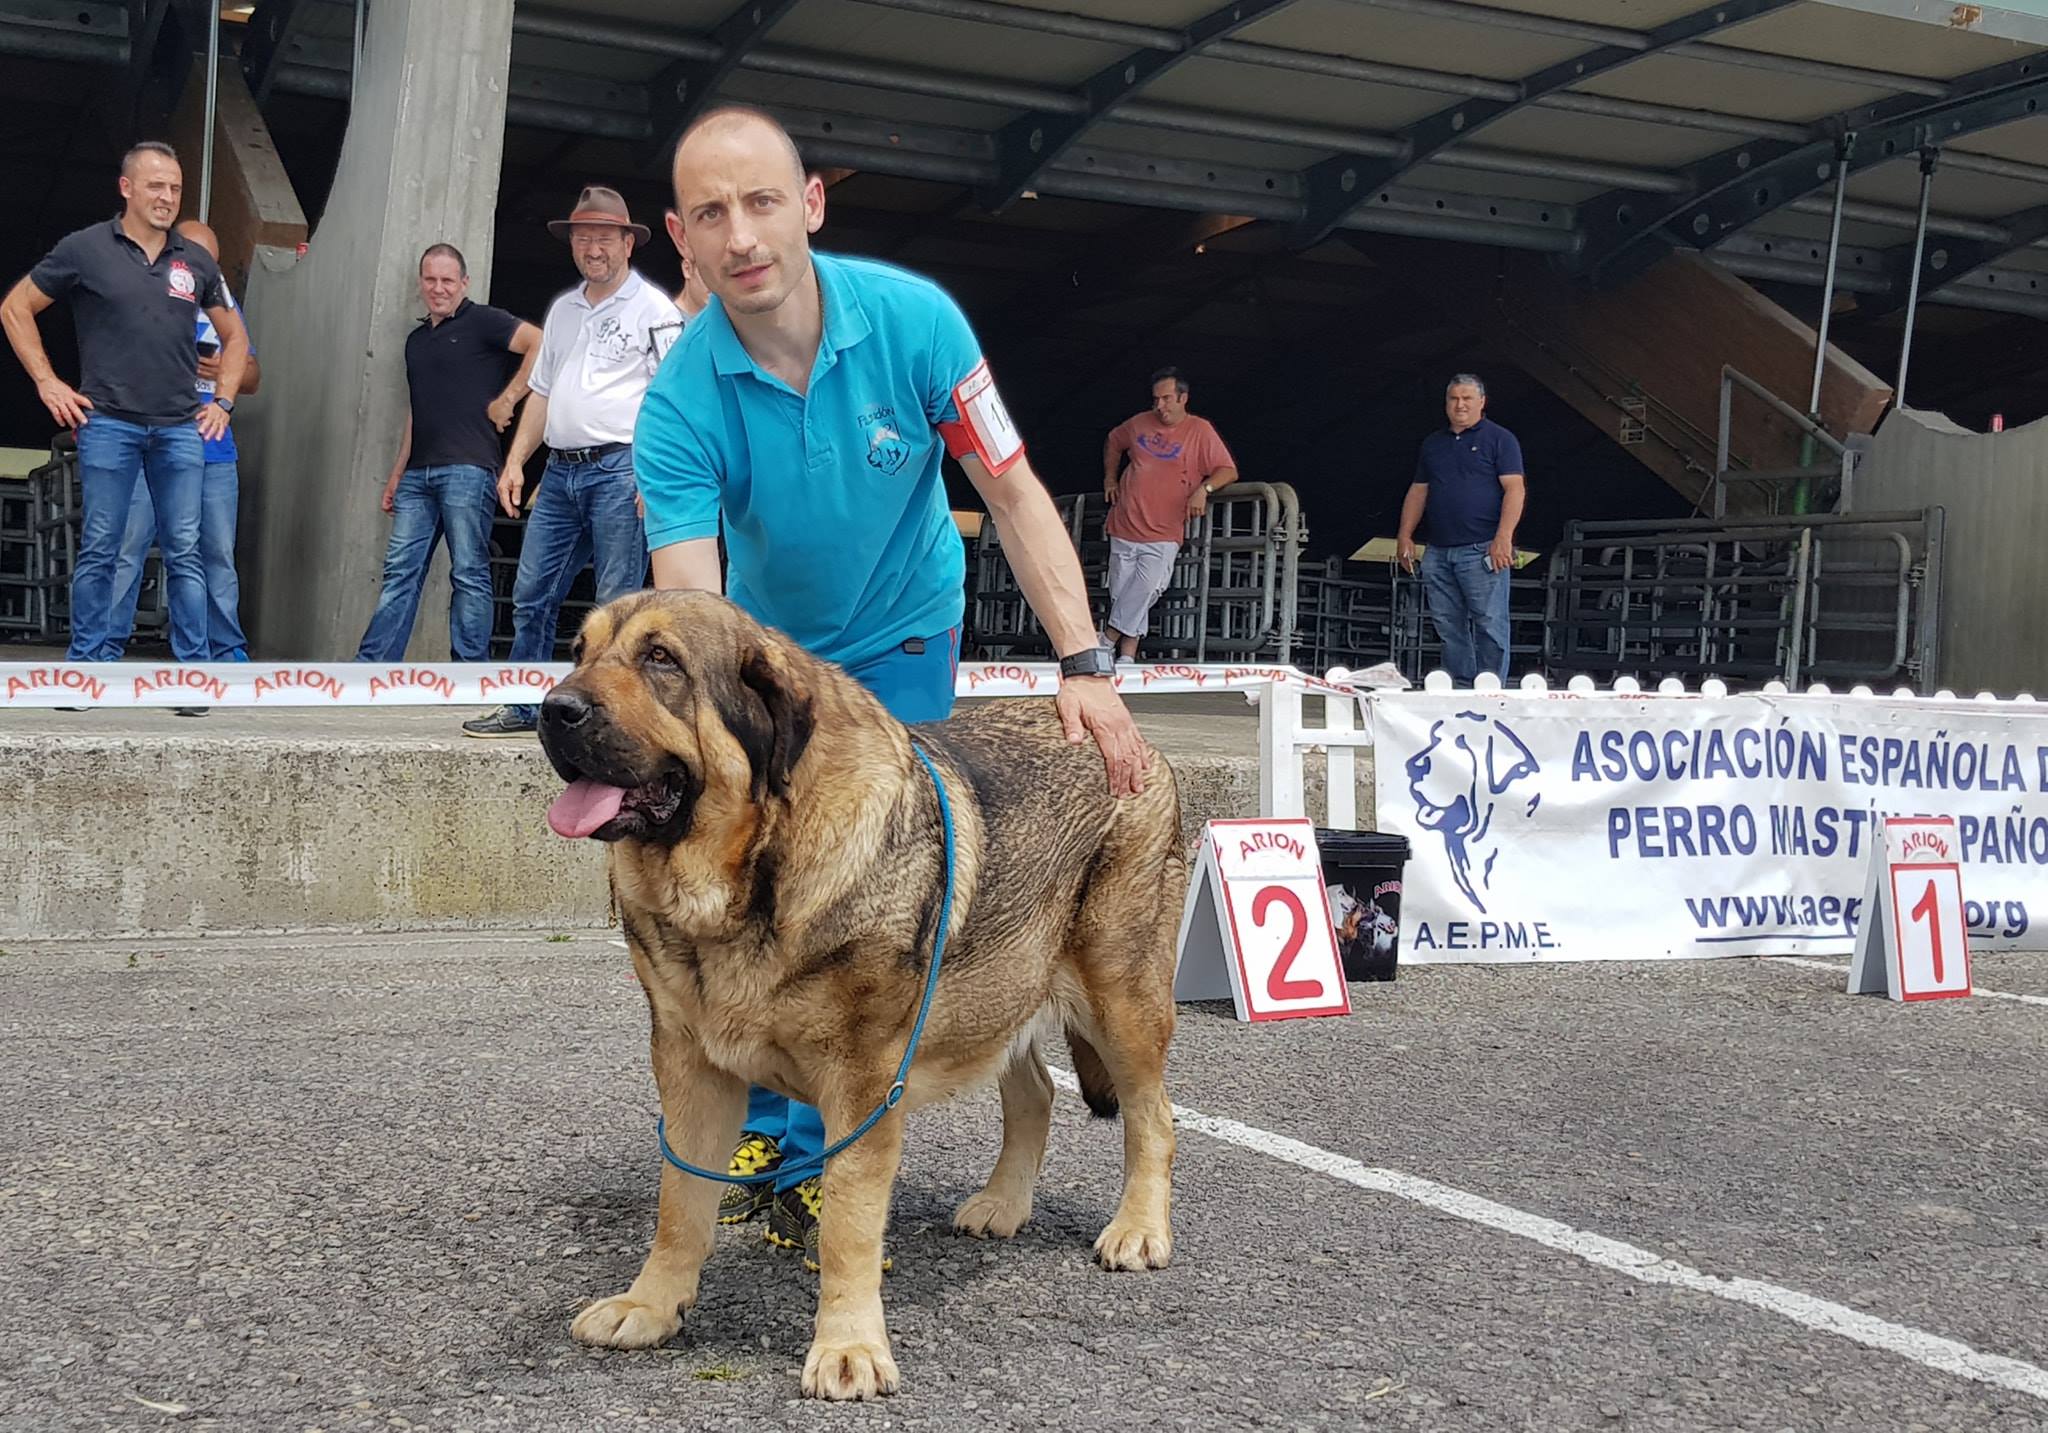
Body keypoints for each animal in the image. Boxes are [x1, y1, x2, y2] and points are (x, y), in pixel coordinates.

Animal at [537, 590, 1184, 1401]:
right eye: (580, 652)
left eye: (662, 660)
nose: (551, 709)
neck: (754, 873)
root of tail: (1136, 743)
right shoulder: (689, 1068)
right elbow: (679, 1204)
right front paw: (651, 1305)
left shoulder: (862, 1085)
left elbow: (848, 1222)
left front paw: (847, 1346)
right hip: (998, 987)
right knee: (1035, 1093)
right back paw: (1004, 1204)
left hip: (1118, 999)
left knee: (1151, 1116)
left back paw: (1139, 1229)